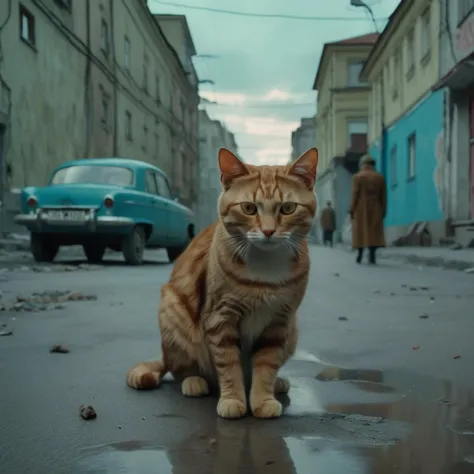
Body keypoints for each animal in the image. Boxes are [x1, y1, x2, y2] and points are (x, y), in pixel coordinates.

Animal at [126, 147, 318, 418]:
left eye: (288, 208)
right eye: (249, 208)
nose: (269, 231)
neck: (265, 267)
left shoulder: (279, 321)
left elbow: (266, 365)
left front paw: (262, 399)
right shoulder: (220, 318)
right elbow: (228, 366)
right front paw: (233, 399)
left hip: (293, 332)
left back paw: (277, 383)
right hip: (172, 310)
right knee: (180, 368)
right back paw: (195, 382)